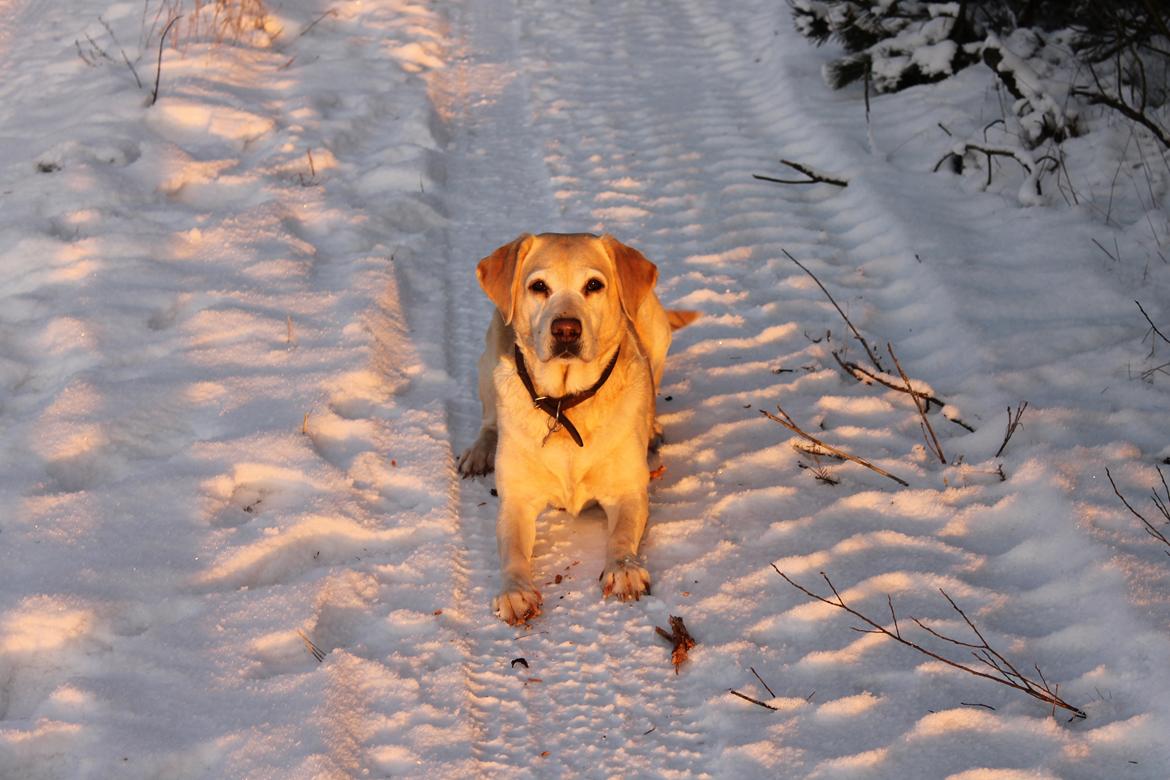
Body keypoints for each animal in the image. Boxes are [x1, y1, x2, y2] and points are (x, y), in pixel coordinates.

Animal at [453, 233, 692, 626]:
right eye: (539, 286)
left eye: (593, 285)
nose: (566, 328)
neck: (564, 405)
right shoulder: (516, 501)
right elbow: (512, 550)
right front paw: (515, 591)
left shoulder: (628, 491)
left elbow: (622, 534)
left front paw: (623, 568)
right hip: (491, 350)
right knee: (489, 418)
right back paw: (480, 450)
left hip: (654, 326)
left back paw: (653, 426)